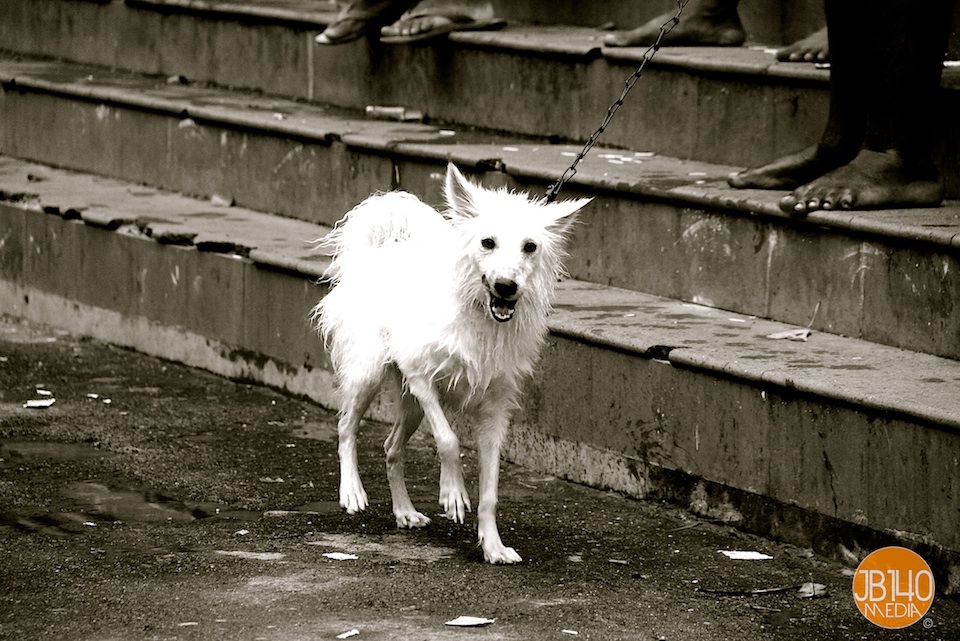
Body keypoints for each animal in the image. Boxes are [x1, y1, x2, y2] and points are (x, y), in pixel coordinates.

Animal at [316, 162, 588, 564]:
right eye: (487, 242)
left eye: (530, 247)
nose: (506, 286)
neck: (480, 315)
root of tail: (377, 255)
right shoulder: (421, 377)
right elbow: (448, 439)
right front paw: (454, 494)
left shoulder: (494, 411)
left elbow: (490, 489)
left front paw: (492, 545)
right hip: (369, 375)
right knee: (347, 428)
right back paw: (352, 491)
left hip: (411, 405)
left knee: (391, 448)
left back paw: (404, 511)